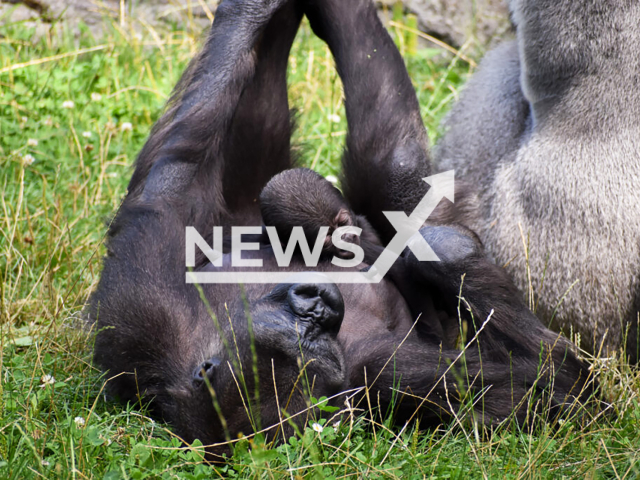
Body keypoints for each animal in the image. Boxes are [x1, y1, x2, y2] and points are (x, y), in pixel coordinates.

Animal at [89, 0, 596, 462]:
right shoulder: (377, 374)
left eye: (305, 324)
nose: (319, 306)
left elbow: (178, 167)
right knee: (397, 170)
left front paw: (247, 12)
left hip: (240, 203)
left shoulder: (144, 312)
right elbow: (555, 386)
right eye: (307, 339)